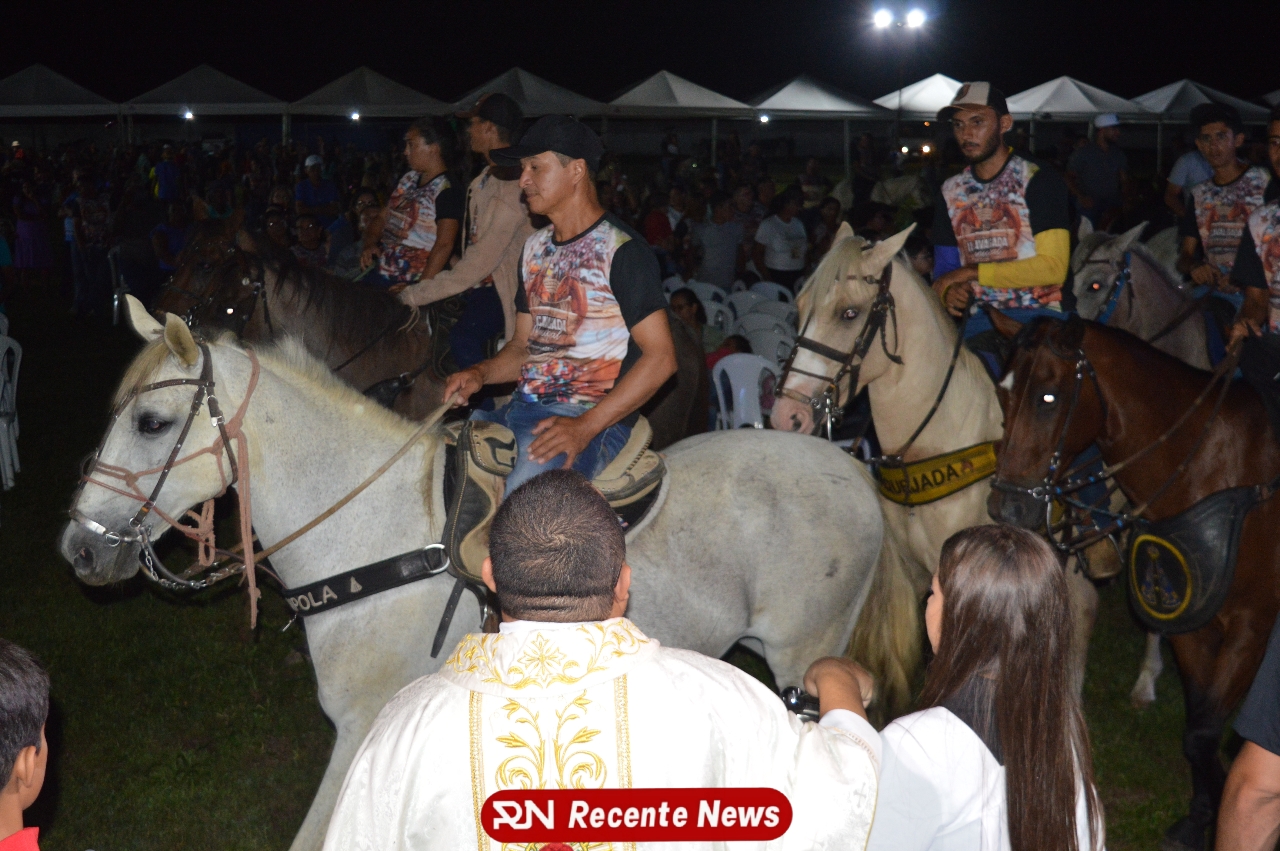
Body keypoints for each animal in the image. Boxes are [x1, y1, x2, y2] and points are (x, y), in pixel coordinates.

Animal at [59, 298, 890, 851]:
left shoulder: (361, 727)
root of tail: (852, 471)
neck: (376, 529)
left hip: (804, 658)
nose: (80, 549)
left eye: (152, 424)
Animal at [987, 314, 1280, 851]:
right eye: (1003, 392)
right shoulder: (1193, 623)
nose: (1007, 507)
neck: (1215, 466)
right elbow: (1198, 729)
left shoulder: (1253, 626)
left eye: (1048, 397)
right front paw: (1200, 815)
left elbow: (1208, 733)